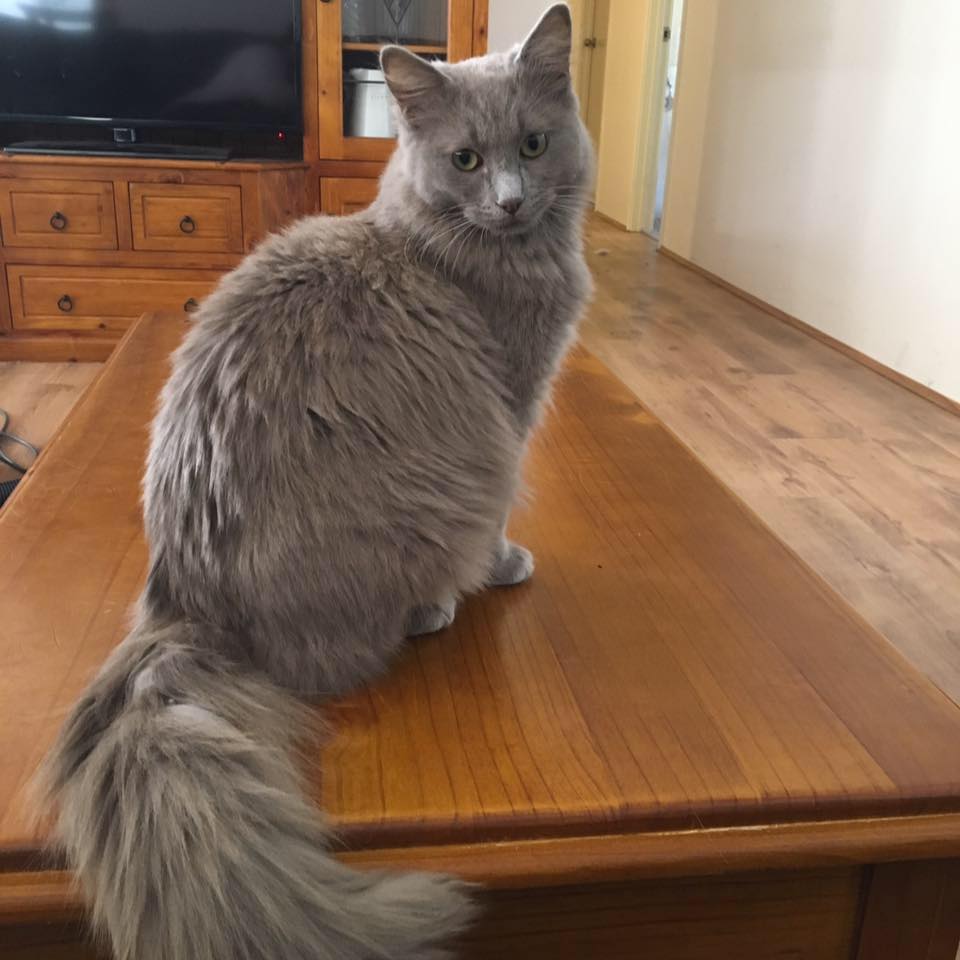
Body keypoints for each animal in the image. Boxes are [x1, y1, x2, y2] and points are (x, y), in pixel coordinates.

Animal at [41, 7, 592, 960]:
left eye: (533, 143)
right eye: (466, 161)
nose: (512, 200)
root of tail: (183, 601)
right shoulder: (511, 412)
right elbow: (499, 526)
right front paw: (504, 566)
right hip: (448, 491)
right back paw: (435, 606)